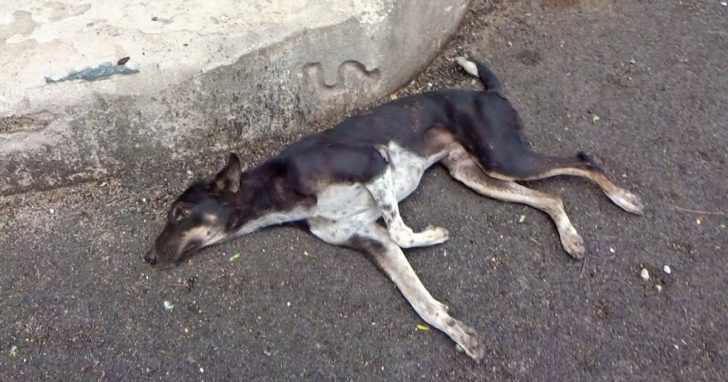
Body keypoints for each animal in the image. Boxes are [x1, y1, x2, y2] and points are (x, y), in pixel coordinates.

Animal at [146, 56, 644, 362]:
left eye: (179, 213)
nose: (148, 258)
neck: (283, 186)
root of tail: (488, 92)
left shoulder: (375, 164)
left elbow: (404, 230)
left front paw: (436, 235)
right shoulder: (373, 241)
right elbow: (422, 303)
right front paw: (461, 335)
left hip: (503, 156)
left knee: (581, 161)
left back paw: (623, 198)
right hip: (478, 173)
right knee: (551, 197)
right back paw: (571, 238)